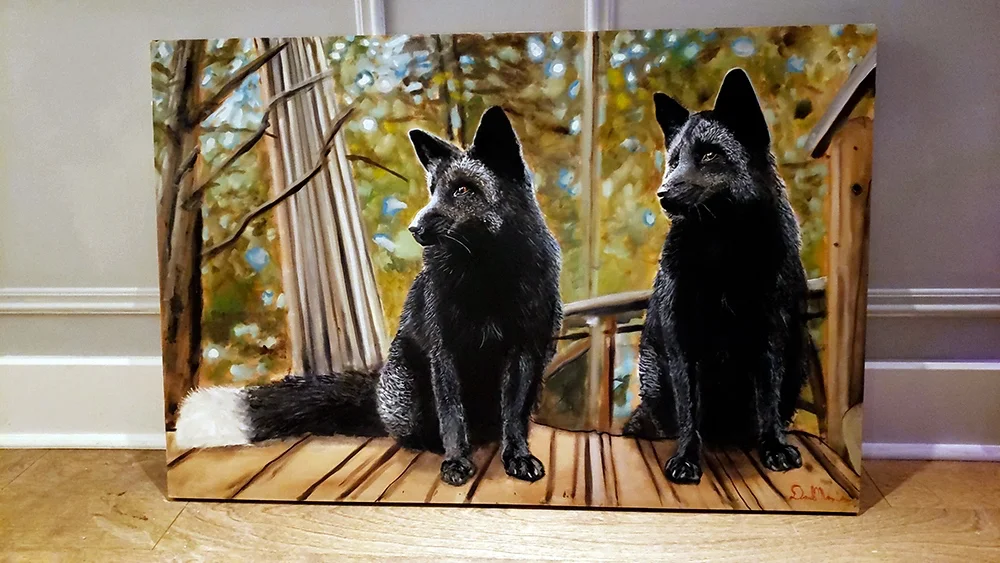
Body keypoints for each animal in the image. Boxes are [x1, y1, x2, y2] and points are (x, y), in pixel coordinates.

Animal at [175, 106, 563, 486]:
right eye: (434, 190)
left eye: (464, 190)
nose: (414, 228)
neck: (487, 279)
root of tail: (377, 391)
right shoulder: (445, 352)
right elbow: (453, 415)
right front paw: (456, 461)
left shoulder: (525, 350)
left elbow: (513, 415)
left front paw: (517, 457)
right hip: (409, 396)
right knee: (416, 432)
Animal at [623, 68, 811, 485]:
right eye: (675, 160)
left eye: (709, 154)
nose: (662, 193)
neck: (725, 253)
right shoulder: (682, 338)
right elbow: (689, 407)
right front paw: (686, 458)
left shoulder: (770, 332)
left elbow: (767, 399)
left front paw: (773, 447)